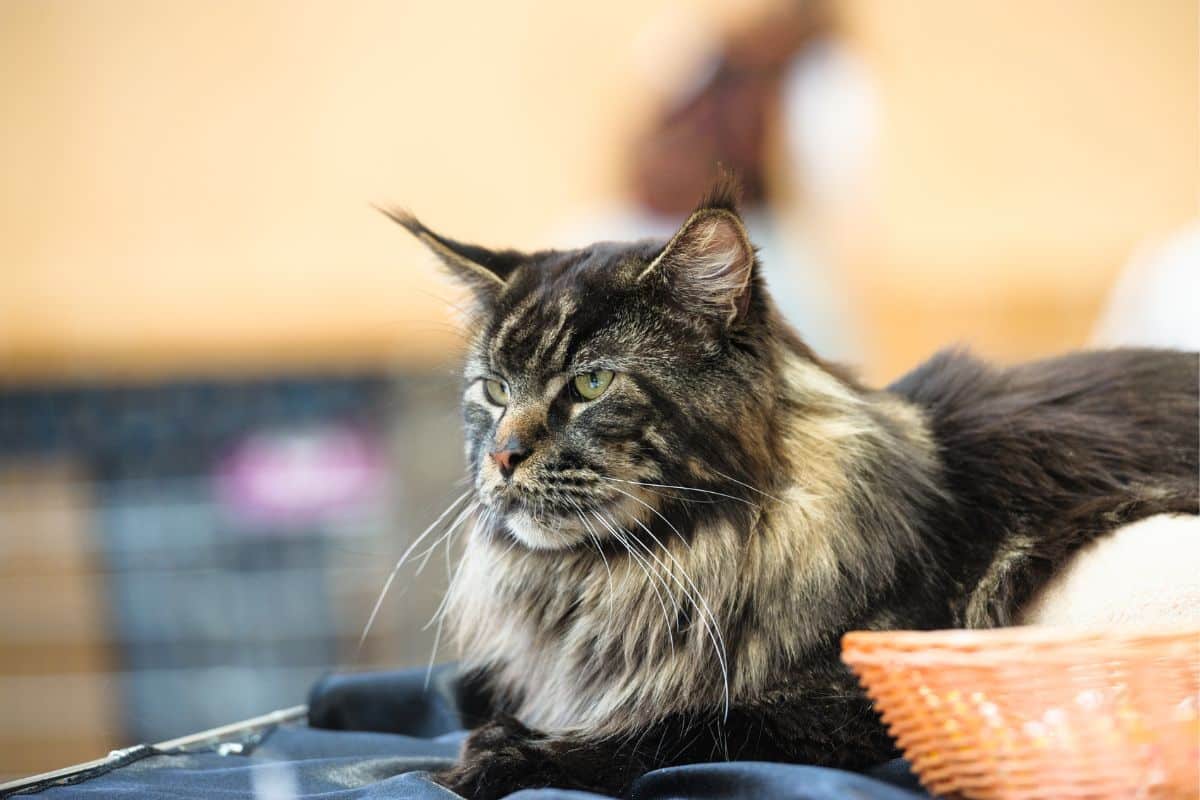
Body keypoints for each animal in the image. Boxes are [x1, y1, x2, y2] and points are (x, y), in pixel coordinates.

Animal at [379, 181, 1195, 800]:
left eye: (591, 384)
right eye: (492, 389)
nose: (503, 456)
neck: (631, 573)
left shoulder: (849, 698)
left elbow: (679, 728)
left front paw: (502, 756)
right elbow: (460, 693)